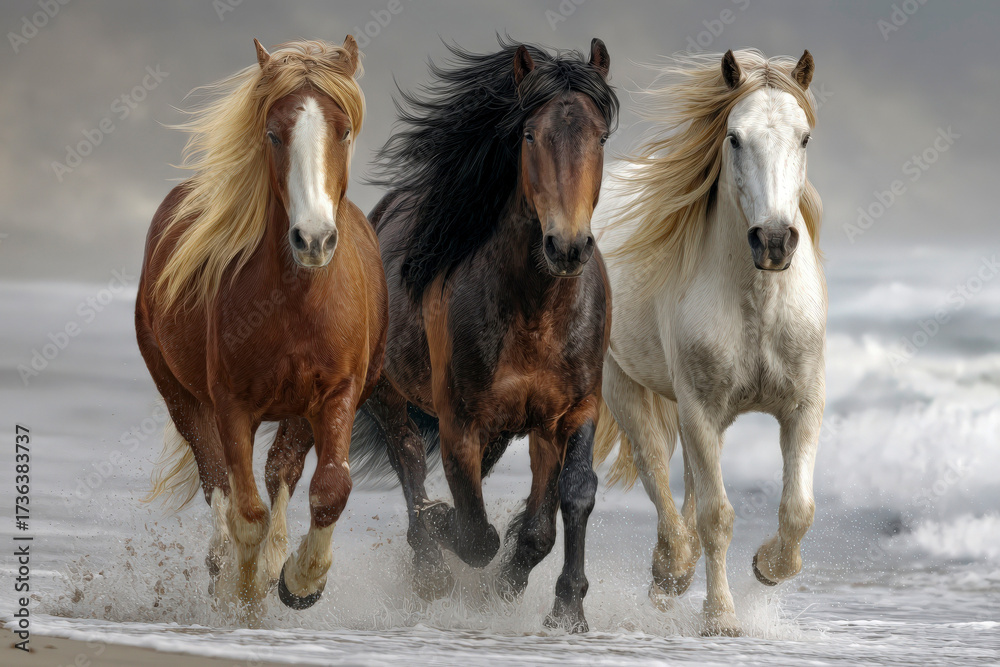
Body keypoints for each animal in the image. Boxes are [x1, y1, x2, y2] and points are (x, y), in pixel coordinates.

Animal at [135, 38, 387, 622]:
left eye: (343, 130)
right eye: (273, 133)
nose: (313, 239)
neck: (295, 303)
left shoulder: (338, 394)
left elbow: (330, 488)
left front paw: (300, 579)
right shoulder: (231, 404)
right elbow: (244, 511)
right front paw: (244, 595)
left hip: (297, 412)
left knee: (282, 474)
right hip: (182, 398)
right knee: (219, 483)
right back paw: (224, 567)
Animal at [346, 37, 618, 632]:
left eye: (600, 136)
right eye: (529, 134)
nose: (567, 246)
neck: (536, 310)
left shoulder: (572, 410)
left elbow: (569, 499)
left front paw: (565, 607)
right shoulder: (460, 423)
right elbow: (474, 534)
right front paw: (446, 535)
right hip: (386, 392)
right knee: (407, 456)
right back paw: (428, 564)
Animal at [592, 49, 826, 636]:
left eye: (804, 137)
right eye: (735, 138)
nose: (773, 241)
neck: (757, 303)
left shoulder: (803, 405)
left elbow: (798, 509)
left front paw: (768, 567)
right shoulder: (697, 407)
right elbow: (716, 515)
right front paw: (721, 617)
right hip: (624, 384)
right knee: (655, 467)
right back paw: (671, 569)